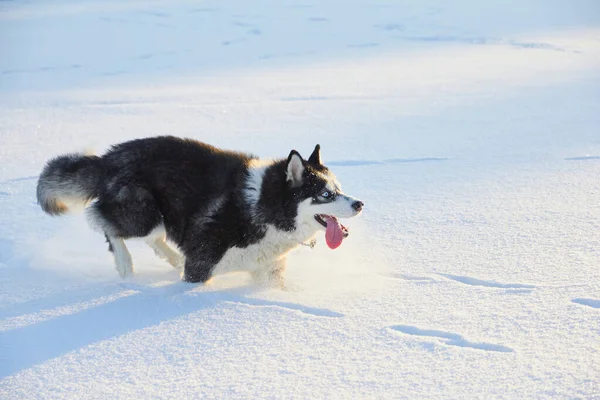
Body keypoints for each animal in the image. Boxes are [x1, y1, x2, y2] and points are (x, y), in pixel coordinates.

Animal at [38, 137, 366, 288]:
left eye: (339, 188)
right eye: (326, 195)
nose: (359, 204)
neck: (262, 207)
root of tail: (108, 158)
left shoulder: (269, 273)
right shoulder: (201, 265)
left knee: (153, 238)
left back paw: (172, 260)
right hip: (143, 212)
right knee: (104, 222)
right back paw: (125, 264)